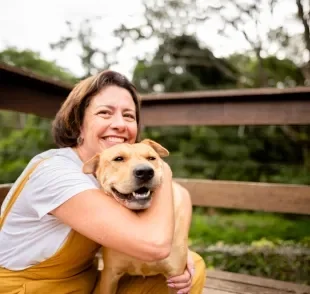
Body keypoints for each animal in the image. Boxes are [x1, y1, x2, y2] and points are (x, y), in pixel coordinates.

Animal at [83, 140, 190, 294]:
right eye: (118, 158)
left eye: (151, 158)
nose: (145, 172)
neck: (142, 220)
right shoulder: (110, 274)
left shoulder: (176, 277)